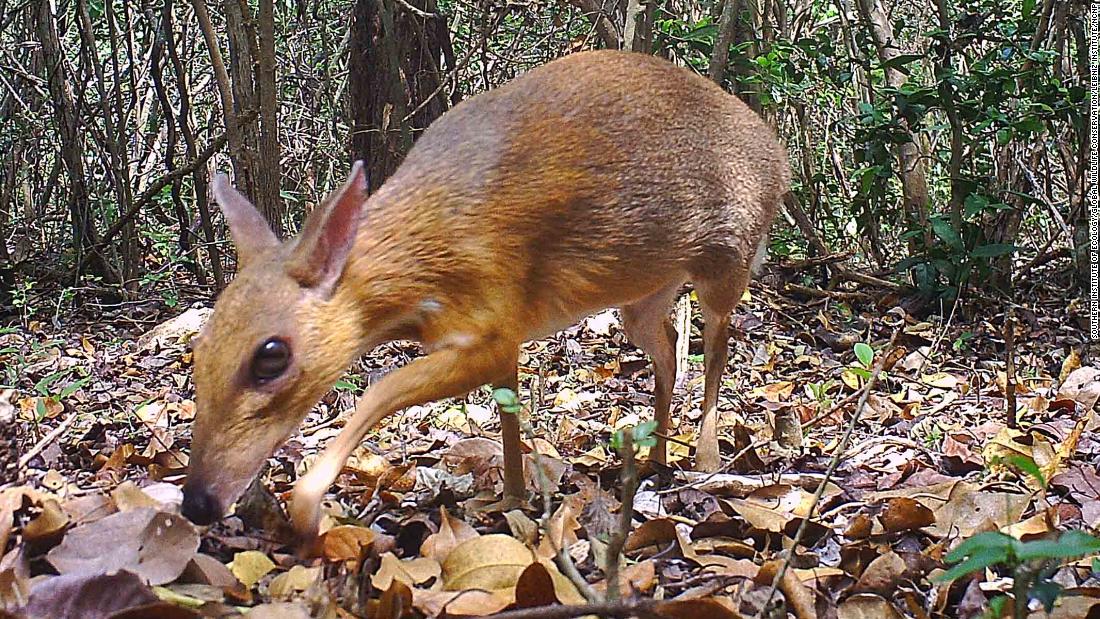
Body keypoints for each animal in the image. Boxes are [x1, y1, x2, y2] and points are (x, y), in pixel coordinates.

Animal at [180, 49, 790, 545]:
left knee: (716, 347)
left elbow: (378, 390)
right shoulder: (502, 334)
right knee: (665, 348)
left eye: (271, 356)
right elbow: (506, 410)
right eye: (199, 348)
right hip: (642, 295)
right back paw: (656, 458)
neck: (425, 256)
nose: (196, 502)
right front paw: (512, 497)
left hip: (728, 258)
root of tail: (781, 155)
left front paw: (307, 509)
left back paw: (706, 458)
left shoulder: (492, 321)